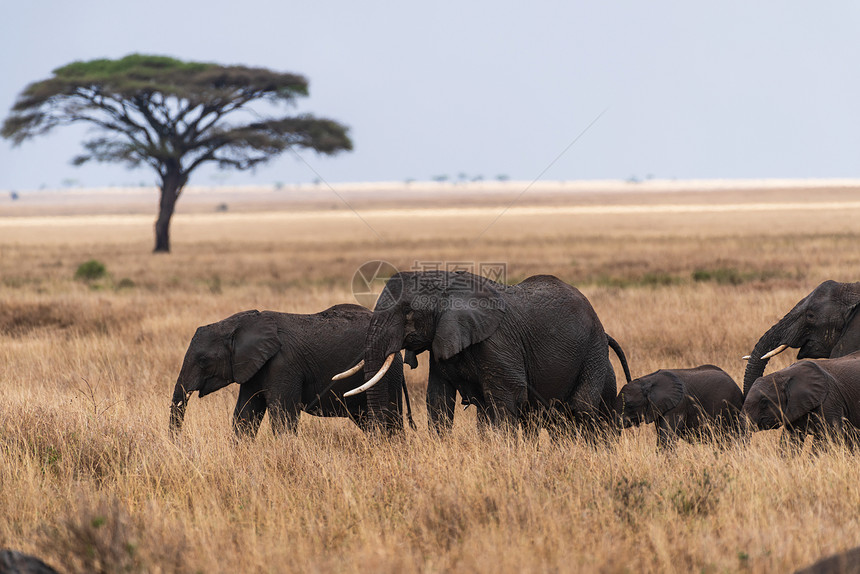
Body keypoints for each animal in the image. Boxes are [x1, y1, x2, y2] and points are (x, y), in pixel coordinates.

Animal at [170, 306, 412, 440]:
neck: (242, 323)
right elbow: (245, 414)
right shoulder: (254, 366)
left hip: (387, 374)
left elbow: (282, 418)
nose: (179, 443)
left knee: (389, 419)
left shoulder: (283, 364)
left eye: (203, 360)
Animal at [334, 272, 632, 438]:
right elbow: (438, 398)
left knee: (581, 407)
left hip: (593, 350)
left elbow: (508, 396)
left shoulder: (498, 341)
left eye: (408, 313)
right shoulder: (443, 339)